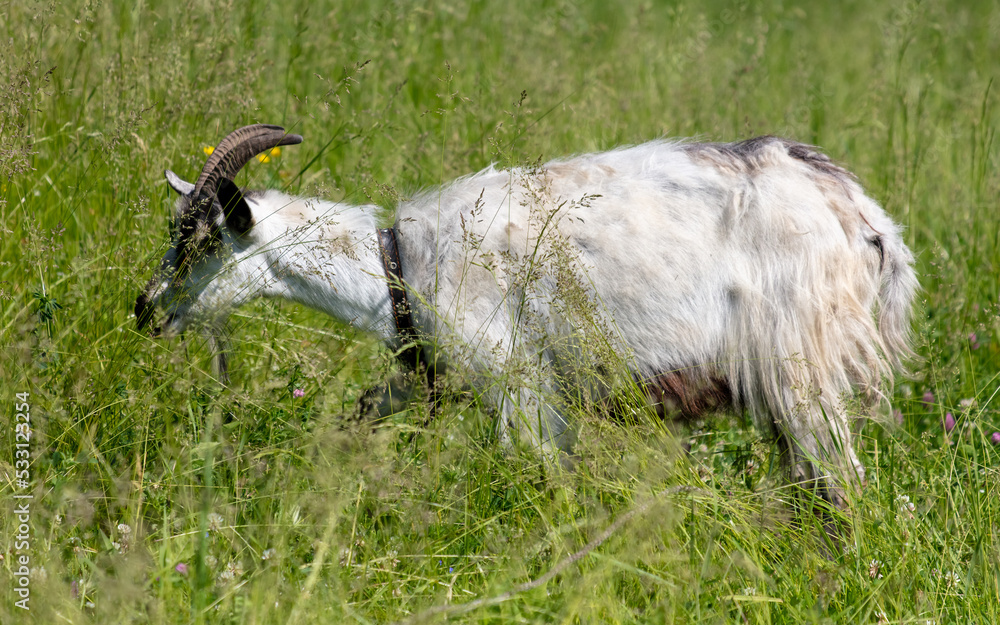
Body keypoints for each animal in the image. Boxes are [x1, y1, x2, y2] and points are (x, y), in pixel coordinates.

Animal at [135, 124, 916, 506]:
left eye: (199, 238)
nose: (145, 309)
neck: (397, 265)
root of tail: (867, 219)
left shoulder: (518, 382)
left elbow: (540, 479)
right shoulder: (427, 374)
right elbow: (360, 412)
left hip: (800, 366)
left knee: (839, 484)